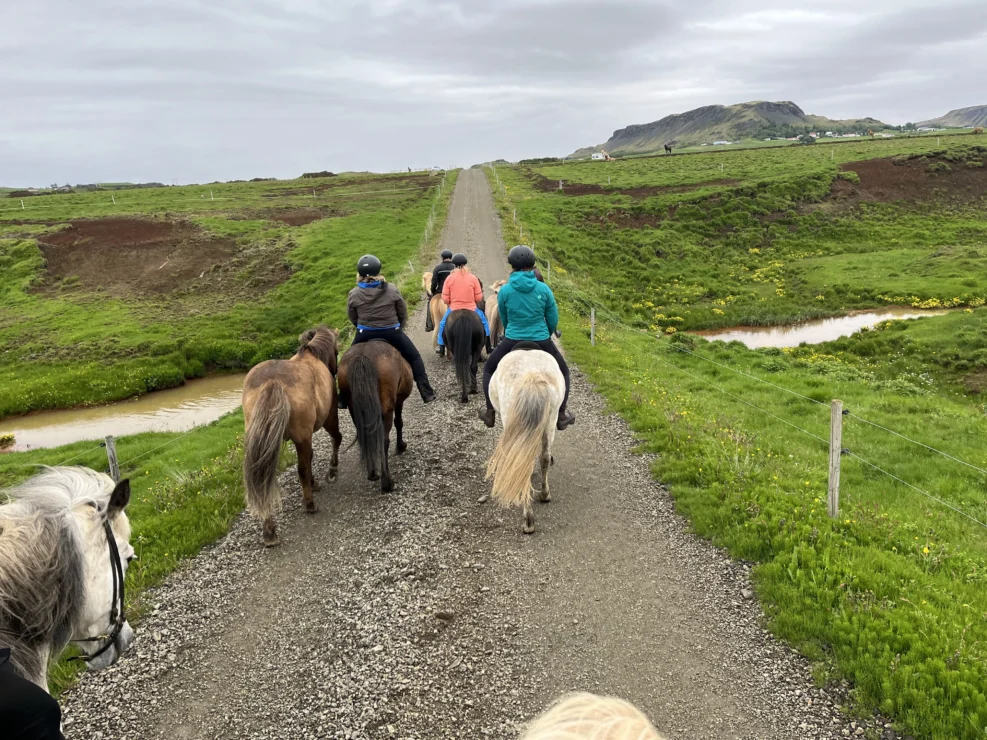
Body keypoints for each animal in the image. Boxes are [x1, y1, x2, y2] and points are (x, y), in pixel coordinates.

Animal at [241, 326, 342, 548]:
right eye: (337, 351)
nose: (335, 371)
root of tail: (272, 381)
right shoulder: (325, 422)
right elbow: (334, 441)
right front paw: (326, 474)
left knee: (263, 478)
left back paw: (269, 531)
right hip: (302, 436)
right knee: (302, 468)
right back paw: (310, 504)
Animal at [338, 340, 412, 492]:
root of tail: (362, 357)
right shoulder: (399, 402)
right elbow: (399, 422)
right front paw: (401, 446)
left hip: (355, 411)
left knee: (365, 437)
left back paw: (372, 473)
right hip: (386, 409)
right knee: (384, 440)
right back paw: (387, 482)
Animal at [486, 346, 564, 532]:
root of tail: (532, 375)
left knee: (521, 462)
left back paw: (528, 520)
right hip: (550, 420)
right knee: (543, 458)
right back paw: (544, 495)